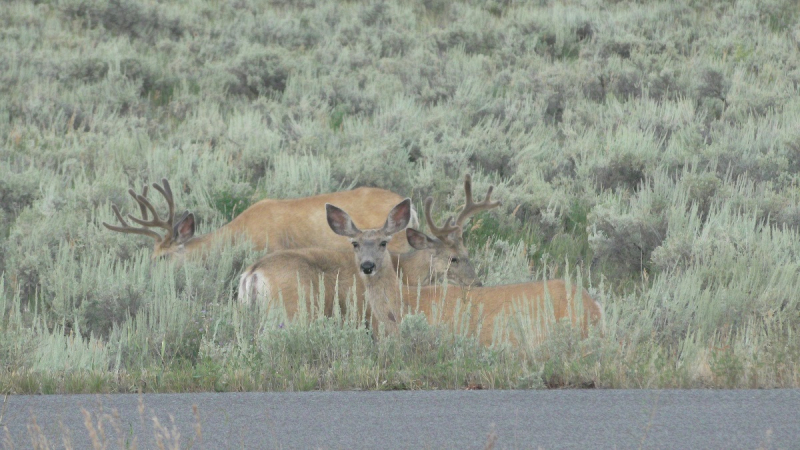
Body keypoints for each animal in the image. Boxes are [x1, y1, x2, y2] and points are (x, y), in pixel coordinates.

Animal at [236, 172, 500, 324]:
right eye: (453, 258)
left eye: (468, 254)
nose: (477, 284)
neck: (409, 272)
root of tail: (253, 273)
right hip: (293, 310)